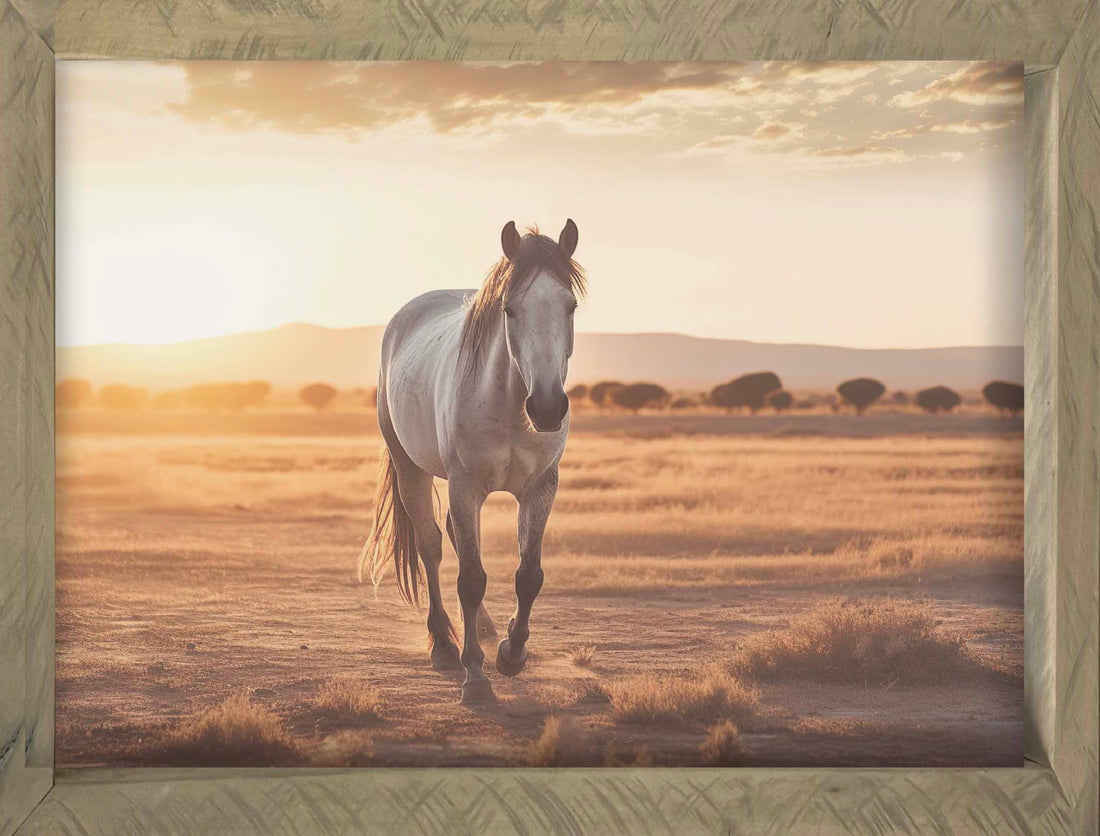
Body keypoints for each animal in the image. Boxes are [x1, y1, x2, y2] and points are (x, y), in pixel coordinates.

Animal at [358, 218, 585, 704]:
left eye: (570, 305)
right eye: (509, 309)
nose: (548, 408)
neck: (510, 405)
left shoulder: (540, 487)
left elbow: (528, 575)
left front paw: (511, 654)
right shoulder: (466, 487)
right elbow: (469, 579)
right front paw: (476, 676)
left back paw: (481, 629)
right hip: (410, 467)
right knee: (431, 545)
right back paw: (445, 645)